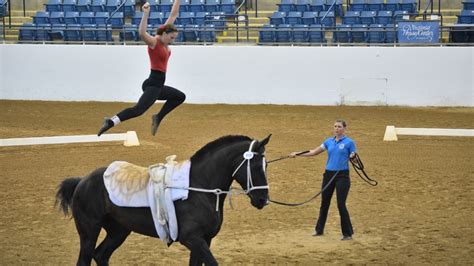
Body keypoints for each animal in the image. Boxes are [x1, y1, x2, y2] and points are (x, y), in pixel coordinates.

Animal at [55, 135, 270, 266]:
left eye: (266, 165)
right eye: (255, 166)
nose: (263, 199)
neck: (199, 188)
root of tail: (82, 180)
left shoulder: (204, 240)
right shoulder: (192, 239)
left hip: (118, 231)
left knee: (100, 255)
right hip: (89, 231)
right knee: (85, 259)